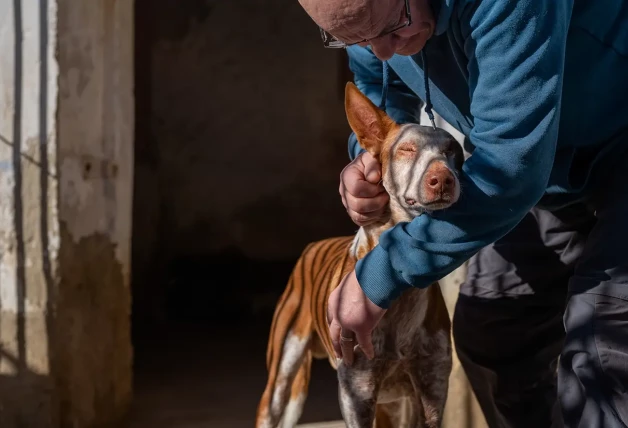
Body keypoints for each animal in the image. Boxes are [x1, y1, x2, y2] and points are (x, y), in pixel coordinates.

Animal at [255, 82, 466, 426]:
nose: (443, 180)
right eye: (406, 150)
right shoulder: (357, 394)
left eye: (452, 153)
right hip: (281, 381)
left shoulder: (432, 390)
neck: (399, 297)